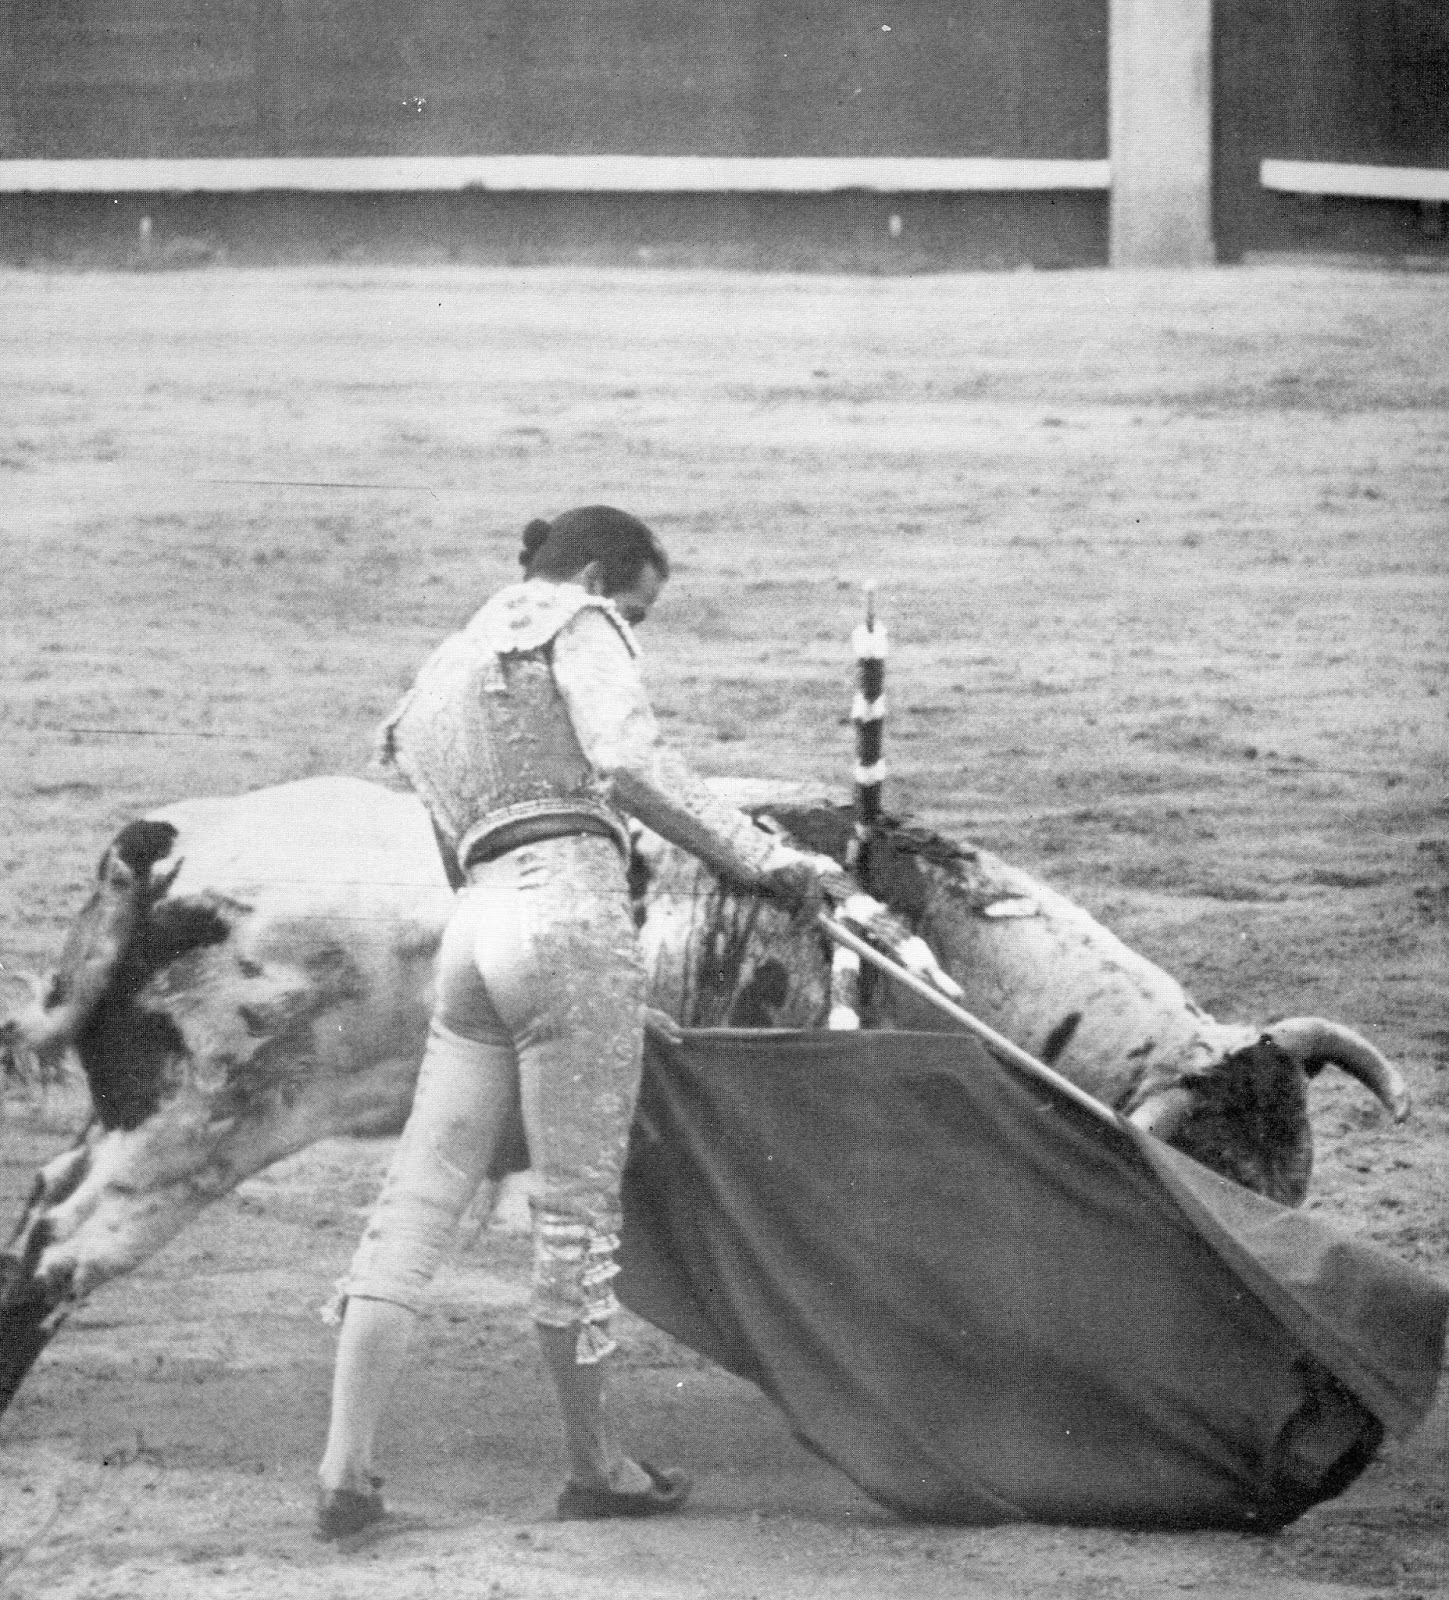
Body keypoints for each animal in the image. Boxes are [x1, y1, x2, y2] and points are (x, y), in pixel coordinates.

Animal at [0, 775, 1409, 1421]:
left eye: (1297, 1182)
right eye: (1217, 1183)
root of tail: (167, 841)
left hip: (148, 1116)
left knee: (45, 1195)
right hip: (197, 1123)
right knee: (60, 1242)